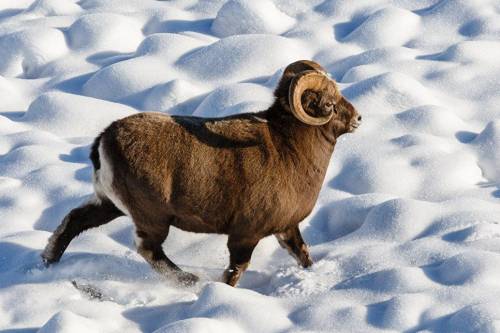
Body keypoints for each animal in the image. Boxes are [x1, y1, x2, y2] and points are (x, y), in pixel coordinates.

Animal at [42, 61, 360, 286]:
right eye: (329, 104)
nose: (357, 118)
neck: (289, 148)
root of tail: (105, 141)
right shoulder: (245, 235)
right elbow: (234, 271)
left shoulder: (286, 228)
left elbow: (303, 255)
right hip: (152, 219)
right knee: (148, 249)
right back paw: (190, 281)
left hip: (108, 205)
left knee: (75, 221)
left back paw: (48, 262)